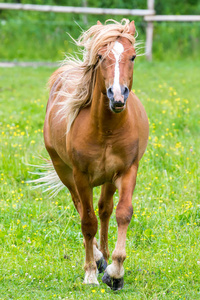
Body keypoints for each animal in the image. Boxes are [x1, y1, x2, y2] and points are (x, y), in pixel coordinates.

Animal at [42, 19, 148, 290]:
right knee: (82, 209)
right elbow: (87, 222)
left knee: (105, 210)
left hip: (108, 180)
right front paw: (91, 272)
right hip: (66, 172)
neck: (107, 129)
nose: (117, 96)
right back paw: (98, 258)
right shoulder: (81, 176)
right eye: (100, 56)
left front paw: (115, 272)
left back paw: (105, 256)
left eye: (133, 57)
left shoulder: (128, 170)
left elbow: (122, 213)